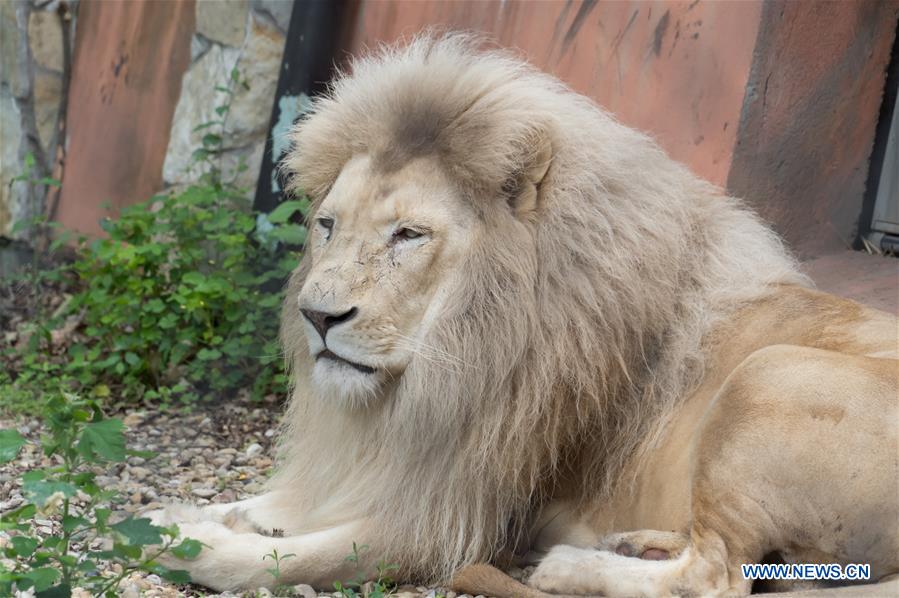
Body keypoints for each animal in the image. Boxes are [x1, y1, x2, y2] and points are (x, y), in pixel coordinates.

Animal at [150, 35, 898, 596]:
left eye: (408, 235)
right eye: (327, 225)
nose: (317, 317)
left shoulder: (453, 513)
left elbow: (292, 560)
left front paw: (184, 542)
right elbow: (269, 508)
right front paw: (194, 511)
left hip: (769, 373)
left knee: (716, 577)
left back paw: (569, 567)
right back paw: (632, 545)